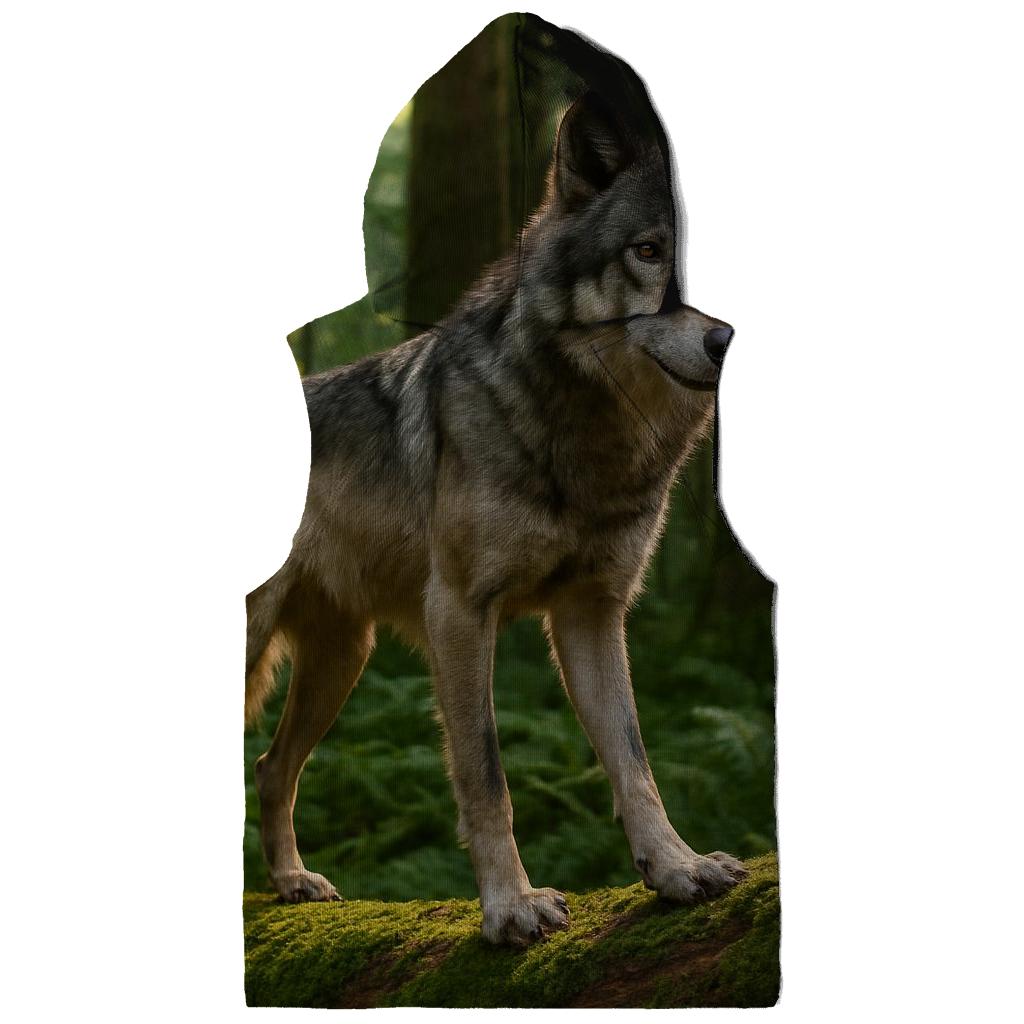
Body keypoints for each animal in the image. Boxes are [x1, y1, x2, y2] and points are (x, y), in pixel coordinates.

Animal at [246, 91, 748, 946]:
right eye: (649, 251)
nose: (726, 339)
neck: (589, 440)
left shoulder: (590, 614)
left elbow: (633, 762)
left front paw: (677, 868)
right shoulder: (459, 612)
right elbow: (486, 775)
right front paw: (510, 907)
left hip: (342, 660)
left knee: (272, 767)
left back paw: (292, 883)